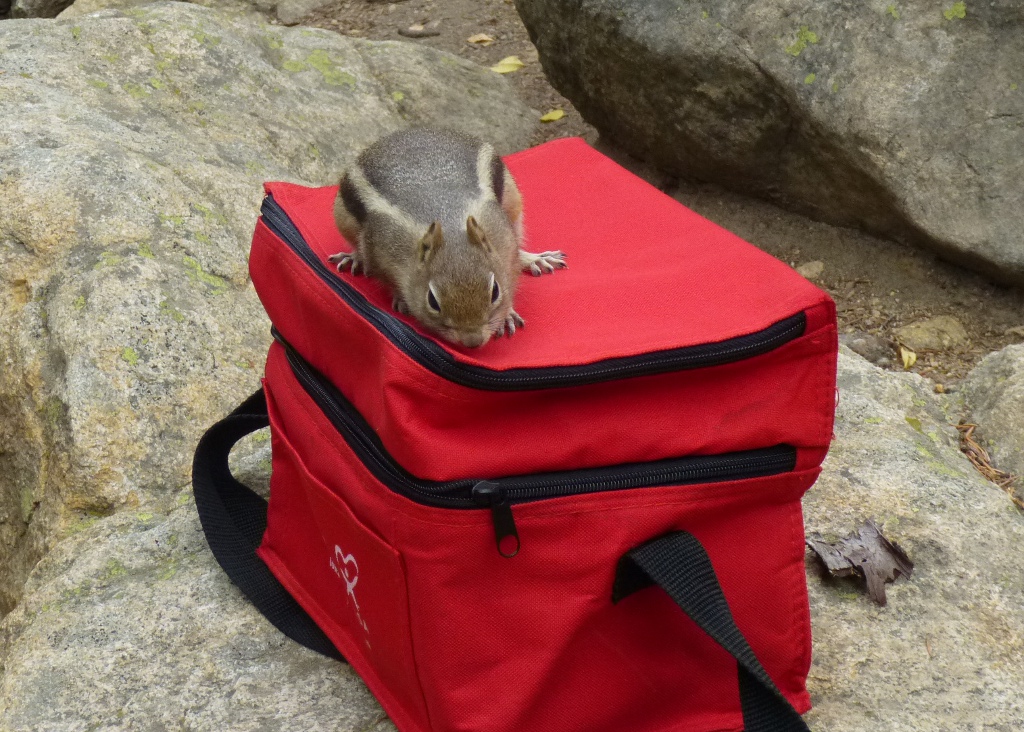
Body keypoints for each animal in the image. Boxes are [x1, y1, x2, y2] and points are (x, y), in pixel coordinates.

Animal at [328, 127, 566, 348]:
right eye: (433, 301)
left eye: (495, 291)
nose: (473, 341)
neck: (448, 224)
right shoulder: (378, 248)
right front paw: (401, 299)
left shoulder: (505, 240)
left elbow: (513, 269)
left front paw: (508, 314)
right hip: (343, 216)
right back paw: (354, 258)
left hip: (512, 200)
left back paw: (536, 259)